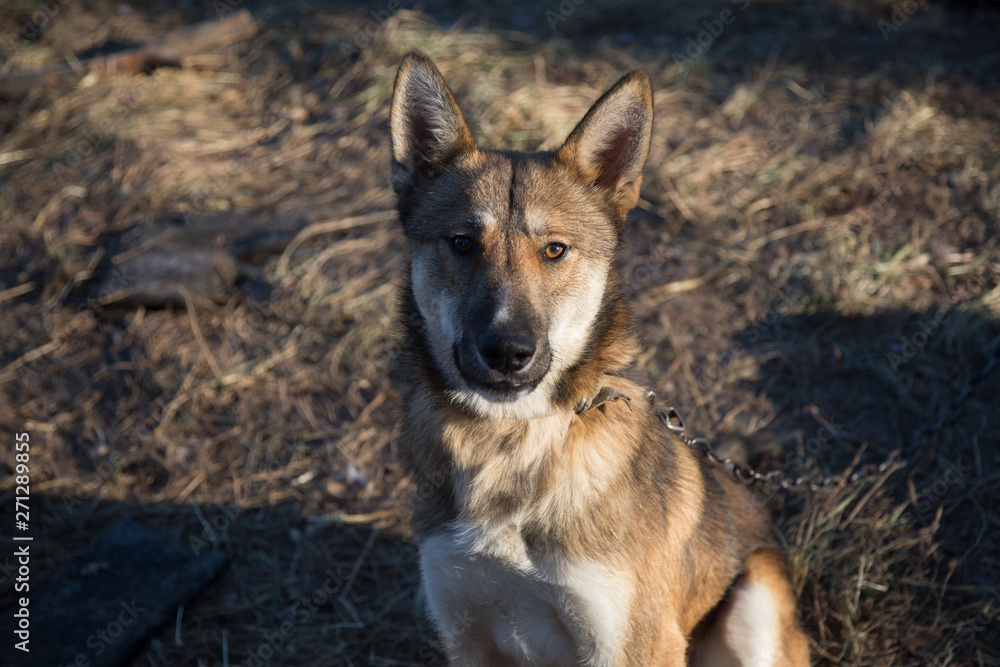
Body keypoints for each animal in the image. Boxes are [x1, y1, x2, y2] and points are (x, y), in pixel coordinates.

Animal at [386, 49, 808, 664]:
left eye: (554, 250)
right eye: (462, 243)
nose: (508, 352)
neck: (511, 442)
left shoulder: (635, 643)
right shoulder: (466, 633)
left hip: (757, 603)